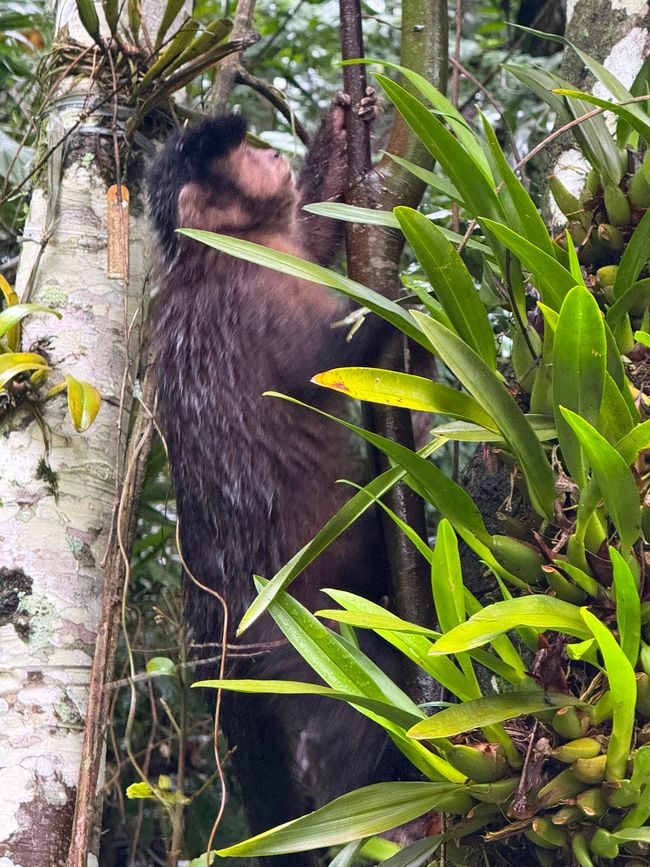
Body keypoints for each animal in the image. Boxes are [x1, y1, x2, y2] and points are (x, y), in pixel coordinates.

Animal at [149, 97, 406, 866]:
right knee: (357, 685)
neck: (223, 250)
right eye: (240, 156)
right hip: (296, 630)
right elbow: (320, 363)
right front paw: (396, 290)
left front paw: (341, 130)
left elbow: (313, 231)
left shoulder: (276, 247)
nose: (268, 153)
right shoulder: (248, 294)